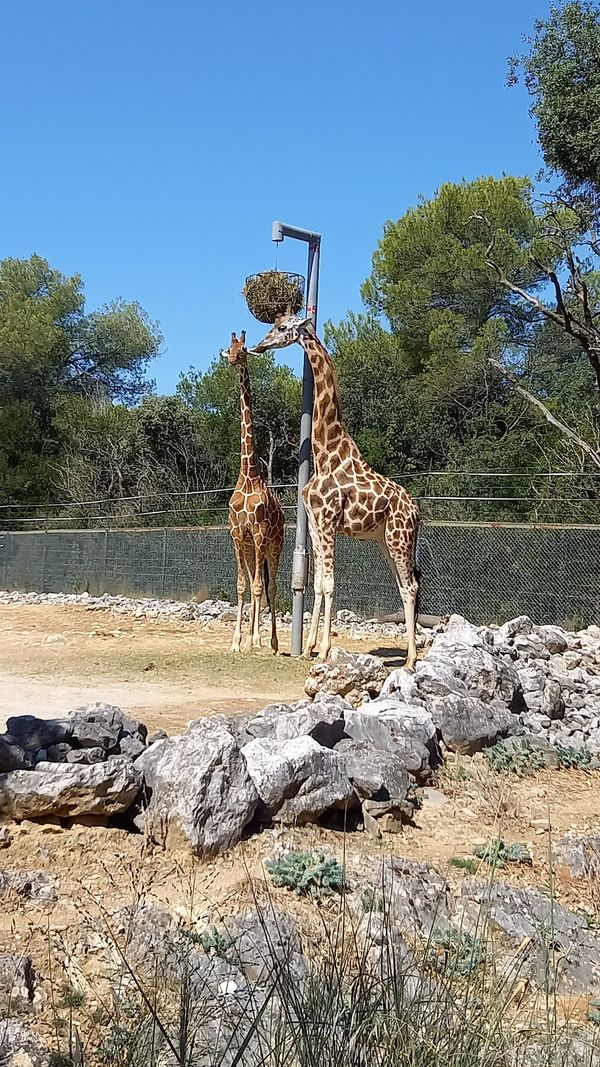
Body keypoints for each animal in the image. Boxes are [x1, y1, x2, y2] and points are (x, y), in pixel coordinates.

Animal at [251, 311, 420, 670]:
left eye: (282, 328)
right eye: (272, 325)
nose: (259, 346)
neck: (324, 452)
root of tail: (417, 511)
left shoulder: (328, 521)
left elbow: (330, 583)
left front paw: (326, 648)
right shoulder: (315, 524)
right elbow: (316, 584)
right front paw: (310, 646)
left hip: (400, 538)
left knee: (411, 585)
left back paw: (412, 659)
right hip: (384, 540)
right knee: (403, 585)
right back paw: (409, 655)